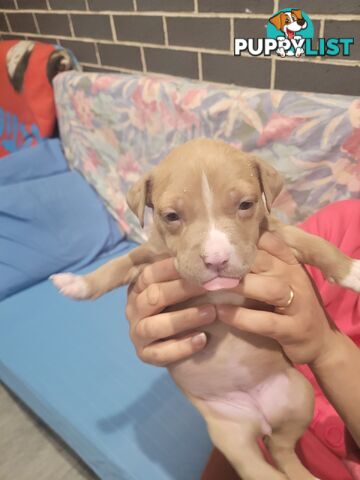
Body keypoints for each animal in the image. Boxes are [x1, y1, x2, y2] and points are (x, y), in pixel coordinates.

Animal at [52, 138, 358, 476]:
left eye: (246, 205)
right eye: (171, 216)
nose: (216, 260)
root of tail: (260, 418)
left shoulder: (276, 232)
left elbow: (314, 243)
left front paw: (352, 272)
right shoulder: (148, 256)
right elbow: (116, 266)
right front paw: (78, 284)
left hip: (300, 397)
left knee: (282, 450)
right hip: (230, 435)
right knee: (262, 462)